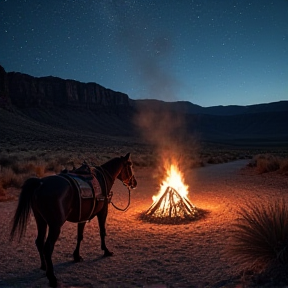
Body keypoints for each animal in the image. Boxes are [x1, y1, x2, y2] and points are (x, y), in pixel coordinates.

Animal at [9, 153, 138, 286]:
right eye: (130, 165)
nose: (135, 183)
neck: (103, 178)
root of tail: (40, 182)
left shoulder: (83, 217)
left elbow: (79, 236)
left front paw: (76, 256)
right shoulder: (103, 211)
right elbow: (102, 231)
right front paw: (106, 251)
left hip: (40, 220)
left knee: (39, 241)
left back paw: (44, 266)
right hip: (55, 226)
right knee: (48, 247)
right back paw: (52, 277)